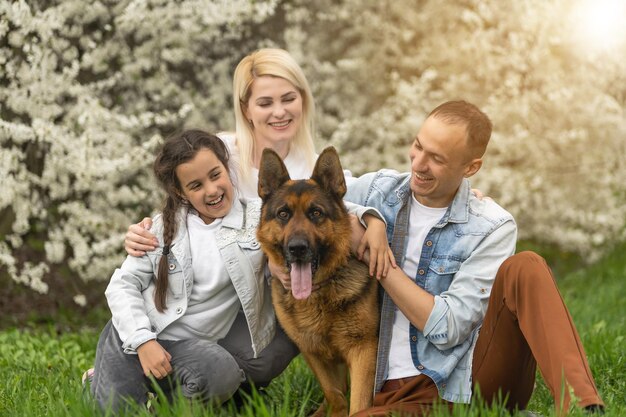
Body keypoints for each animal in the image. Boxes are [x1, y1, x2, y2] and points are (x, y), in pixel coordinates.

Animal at [256, 147, 378, 416]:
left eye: (316, 213)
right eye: (283, 214)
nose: (297, 248)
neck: (318, 293)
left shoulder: (363, 352)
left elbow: (358, 404)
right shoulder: (312, 350)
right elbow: (335, 395)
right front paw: (334, 410)